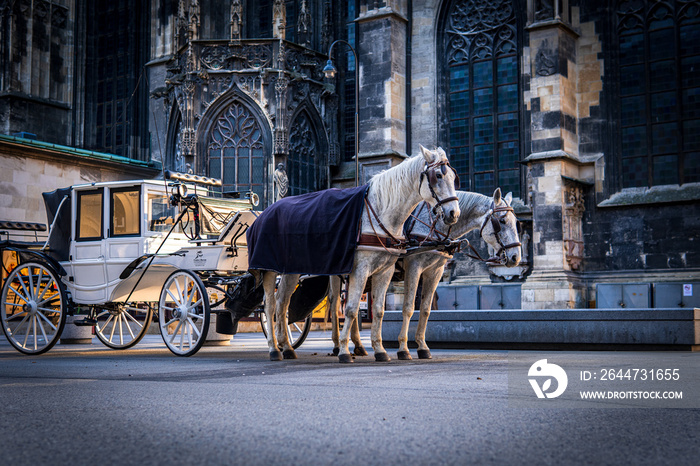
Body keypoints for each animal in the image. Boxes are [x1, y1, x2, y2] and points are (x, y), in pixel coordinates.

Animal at [252, 145, 460, 360]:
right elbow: (352, 310)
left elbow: (379, 310)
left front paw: (379, 349)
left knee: (283, 304)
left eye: (454, 177)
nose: (454, 213)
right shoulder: (365, 269)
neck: (380, 212)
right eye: (438, 175)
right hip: (269, 269)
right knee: (270, 306)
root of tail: (266, 212)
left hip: (291, 270)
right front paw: (345, 350)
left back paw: (286, 346)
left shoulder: (386, 271)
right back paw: (274, 348)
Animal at [396, 187, 524, 358]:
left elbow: (425, 310)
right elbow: (408, 308)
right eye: (501, 221)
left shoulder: (435, 271)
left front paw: (422, 346)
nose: (516, 257)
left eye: (517, 223)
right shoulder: (413, 266)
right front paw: (403, 348)